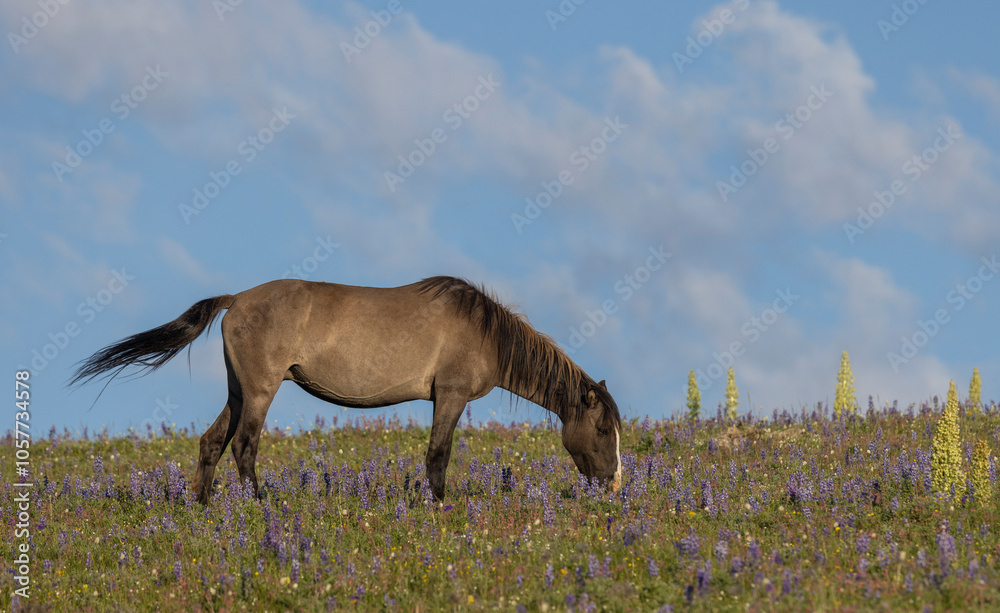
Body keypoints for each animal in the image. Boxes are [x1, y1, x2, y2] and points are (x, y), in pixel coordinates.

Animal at [71, 276, 622, 504]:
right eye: (602, 429)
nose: (614, 485)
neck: (484, 331)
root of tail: (236, 299)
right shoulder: (450, 395)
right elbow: (438, 456)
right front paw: (441, 509)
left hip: (237, 390)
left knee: (212, 443)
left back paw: (204, 508)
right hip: (261, 391)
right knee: (245, 447)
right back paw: (260, 507)